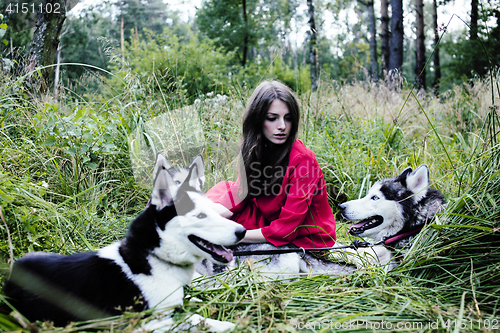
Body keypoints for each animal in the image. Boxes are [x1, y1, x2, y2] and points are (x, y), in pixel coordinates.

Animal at [3, 154, 246, 330]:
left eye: (212, 210)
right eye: (200, 216)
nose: (242, 231)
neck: (153, 258)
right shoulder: (141, 324)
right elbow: (192, 318)